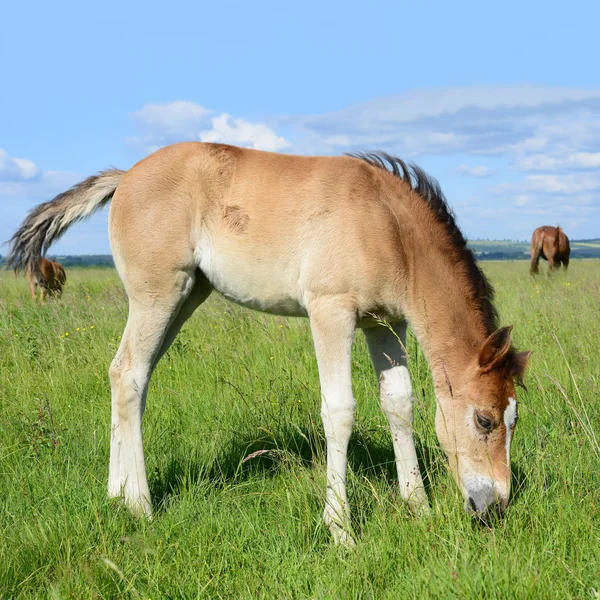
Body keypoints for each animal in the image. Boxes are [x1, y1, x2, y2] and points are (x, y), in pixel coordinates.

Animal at [5, 142, 528, 544]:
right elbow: (340, 411)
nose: (496, 506)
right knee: (129, 373)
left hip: (186, 296)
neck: (387, 223)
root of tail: (126, 176)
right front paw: (340, 530)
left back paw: (116, 494)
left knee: (129, 374)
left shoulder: (385, 325)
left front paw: (418, 507)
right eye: (483, 420)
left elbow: (399, 403)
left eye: (513, 420)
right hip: (159, 294)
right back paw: (141, 504)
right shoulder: (331, 311)